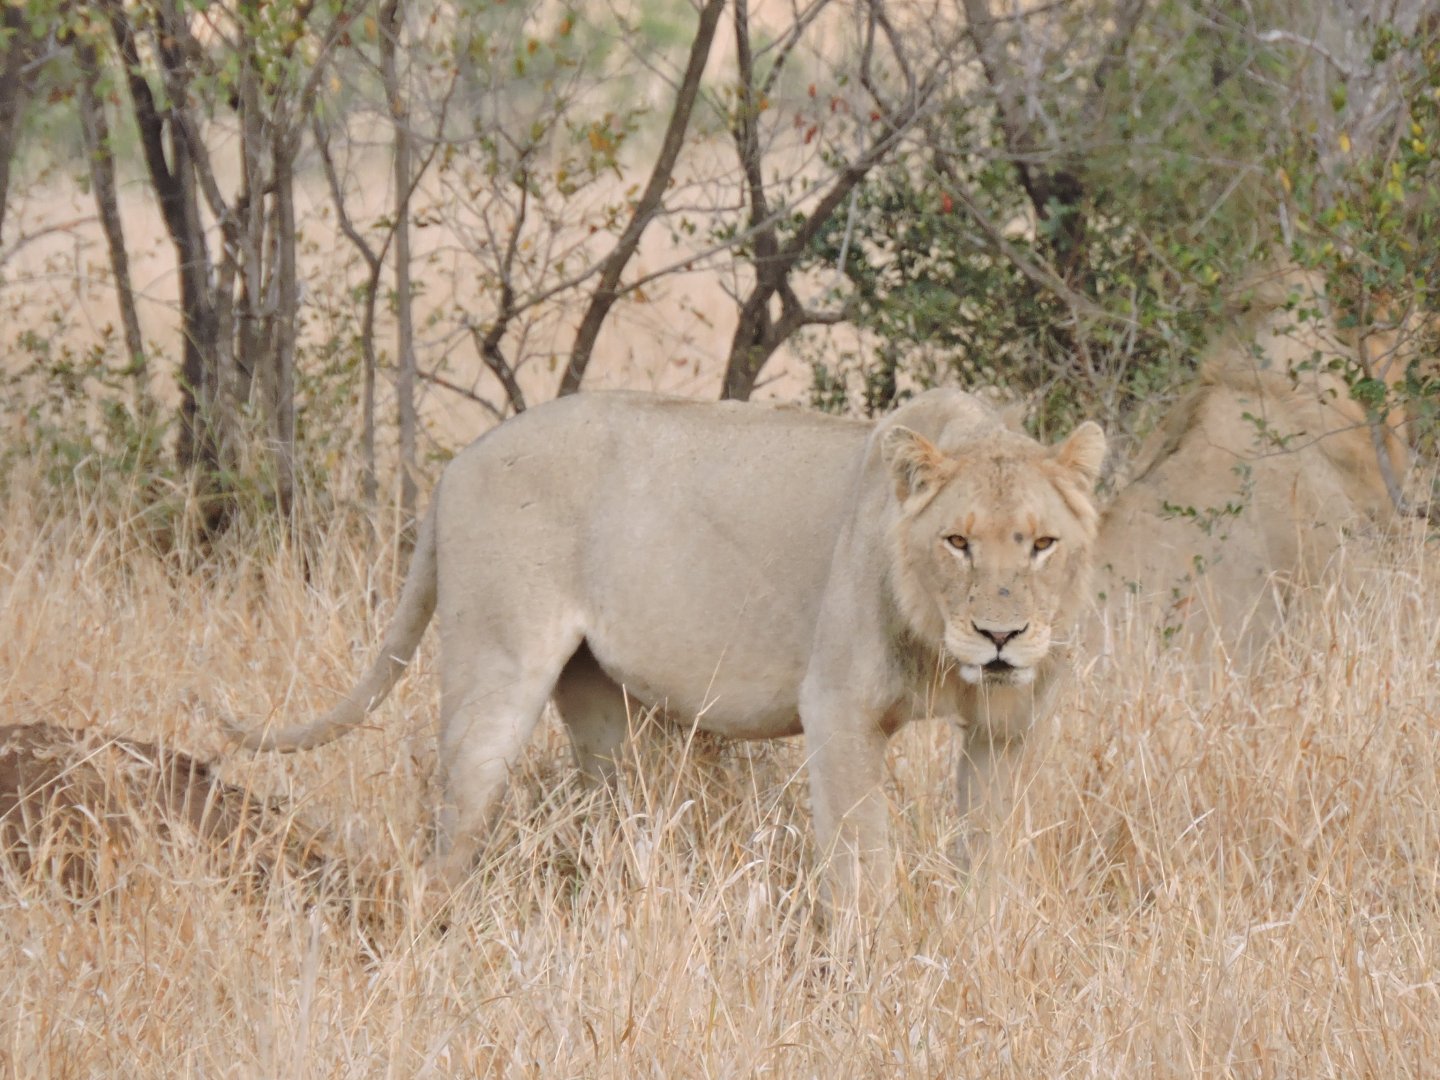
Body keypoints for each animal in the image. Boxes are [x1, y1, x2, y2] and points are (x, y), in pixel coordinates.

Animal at [233, 388, 1107, 904]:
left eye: (1042, 545)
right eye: (957, 541)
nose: (1001, 637)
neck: (941, 647)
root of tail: (460, 461)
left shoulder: (1008, 729)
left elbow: (991, 859)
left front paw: (975, 955)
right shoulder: (840, 710)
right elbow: (864, 862)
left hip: (597, 703)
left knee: (617, 816)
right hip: (497, 668)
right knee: (457, 824)